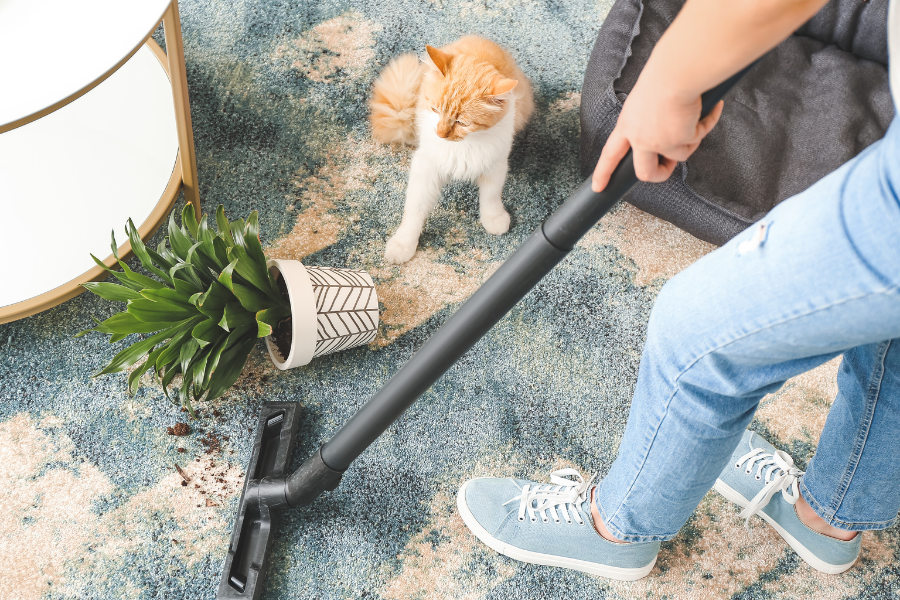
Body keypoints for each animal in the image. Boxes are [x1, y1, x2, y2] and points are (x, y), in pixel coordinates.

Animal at [368, 35, 532, 264]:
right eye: (435, 110)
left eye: (462, 123)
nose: (440, 133)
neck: (463, 145)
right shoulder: (426, 167)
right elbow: (414, 209)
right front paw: (403, 244)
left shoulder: (495, 164)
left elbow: (490, 196)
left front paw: (493, 218)